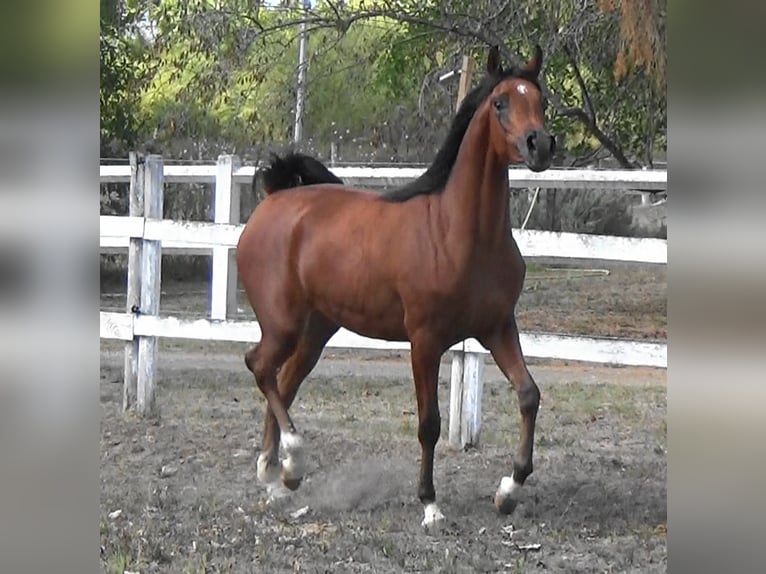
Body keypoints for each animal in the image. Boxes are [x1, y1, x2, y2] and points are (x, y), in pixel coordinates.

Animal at [236, 45, 555, 531]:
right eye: (501, 102)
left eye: (542, 101)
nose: (540, 145)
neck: (459, 234)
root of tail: (273, 200)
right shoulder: (425, 341)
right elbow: (430, 424)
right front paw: (430, 505)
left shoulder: (498, 328)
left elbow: (529, 395)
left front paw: (508, 491)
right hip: (282, 324)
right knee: (259, 367)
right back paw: (291, 459)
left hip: (315, 331)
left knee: (282, 380)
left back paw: (278, 479)